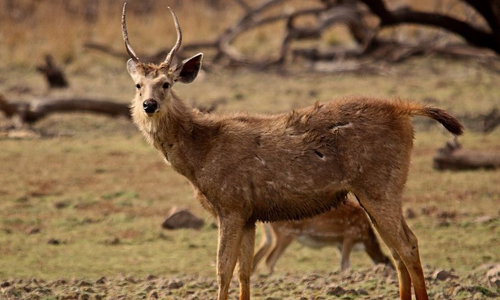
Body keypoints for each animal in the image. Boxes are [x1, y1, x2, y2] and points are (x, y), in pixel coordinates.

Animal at [256, 198, 392, 274]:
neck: (365, 237)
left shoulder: (339, 243)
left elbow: (344, 263)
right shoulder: (350, 235)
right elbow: (345, 264)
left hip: (270, 234)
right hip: (286, 232)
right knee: (269, 260)